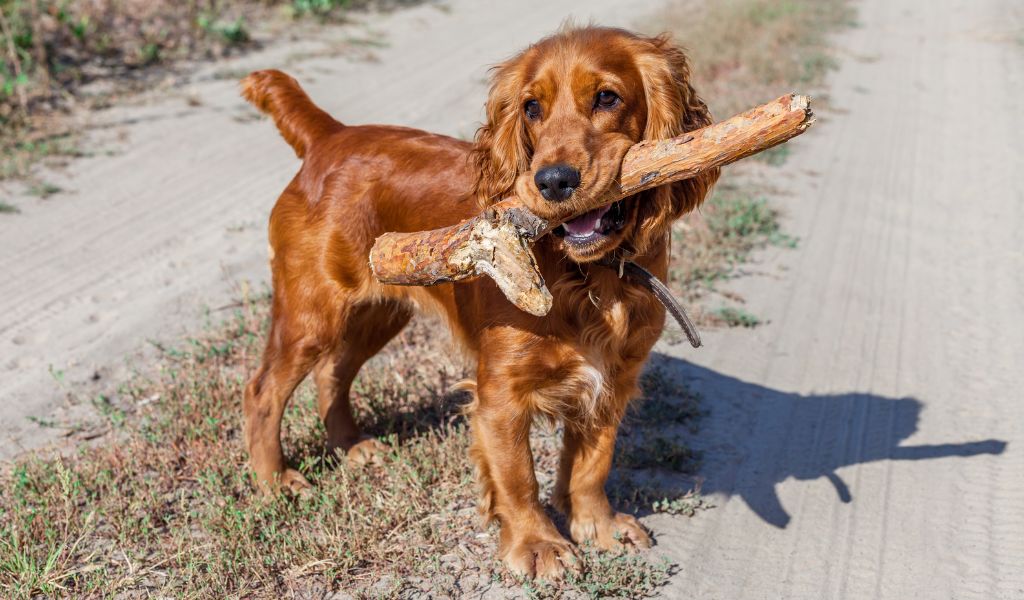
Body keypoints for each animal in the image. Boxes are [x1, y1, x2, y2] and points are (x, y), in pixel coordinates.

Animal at [239, 25, 720, 577]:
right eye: (531, 108)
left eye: (607, 97)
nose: (552, 181)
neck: (589, 276)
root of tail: (330, 136)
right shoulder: (501, 393)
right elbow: (518, 476)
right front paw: (538, 544)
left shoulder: (614, 378)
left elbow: (592, 464)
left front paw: (597, 526)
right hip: (312, 313)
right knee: (263, 391)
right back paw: (275, 483)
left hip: (380, 313)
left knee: (332, 373)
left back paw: (352, 446)